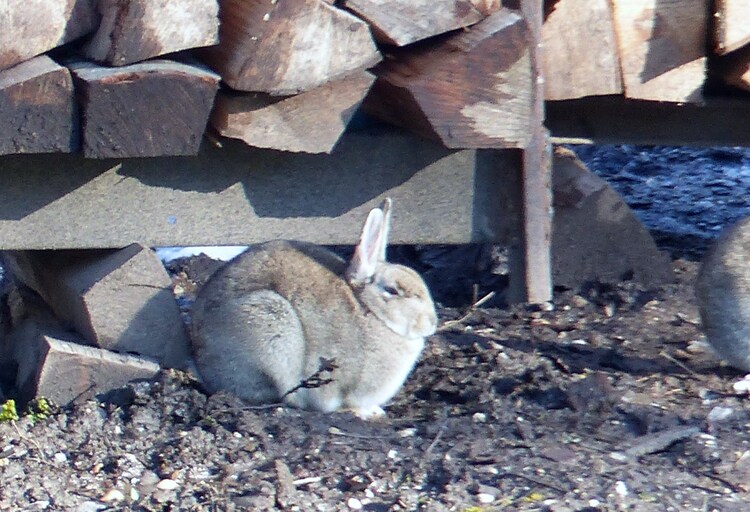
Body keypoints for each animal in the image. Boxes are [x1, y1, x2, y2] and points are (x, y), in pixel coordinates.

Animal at [189, 198, 440, 418]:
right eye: (392, 291)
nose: (431, 323)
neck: (368, 309)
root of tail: (200, 360)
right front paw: (363, 412)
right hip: (271, 324)